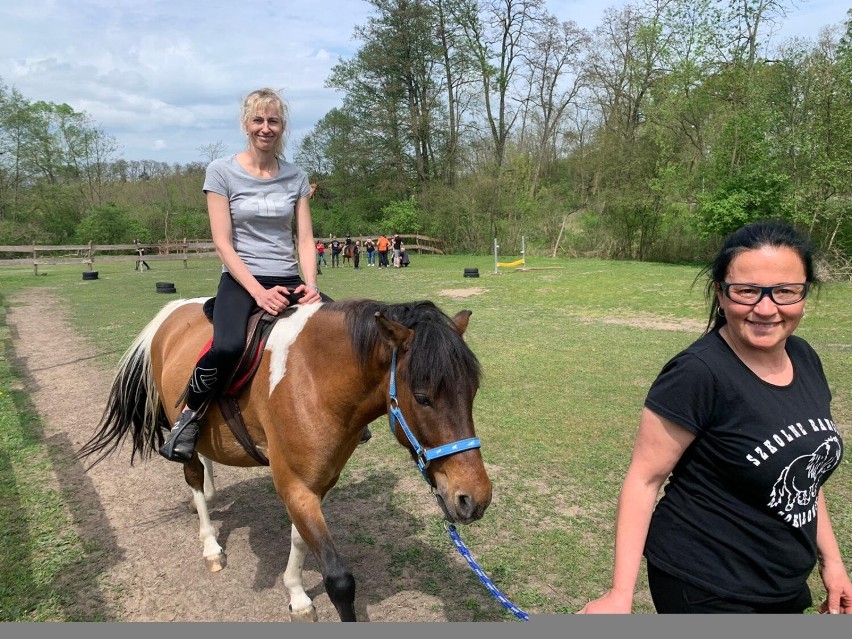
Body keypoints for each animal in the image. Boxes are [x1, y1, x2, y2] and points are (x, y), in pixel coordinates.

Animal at [81, 298, 492, 624]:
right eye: (423, 398)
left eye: (473, 391)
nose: (474, 498)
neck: (313, 380)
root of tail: (173, 310)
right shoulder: (295, 484)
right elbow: (339, 581)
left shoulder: (312, 484)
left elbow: (298, 540)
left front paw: (296, 594)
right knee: (193, 474)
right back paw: (210, 543)